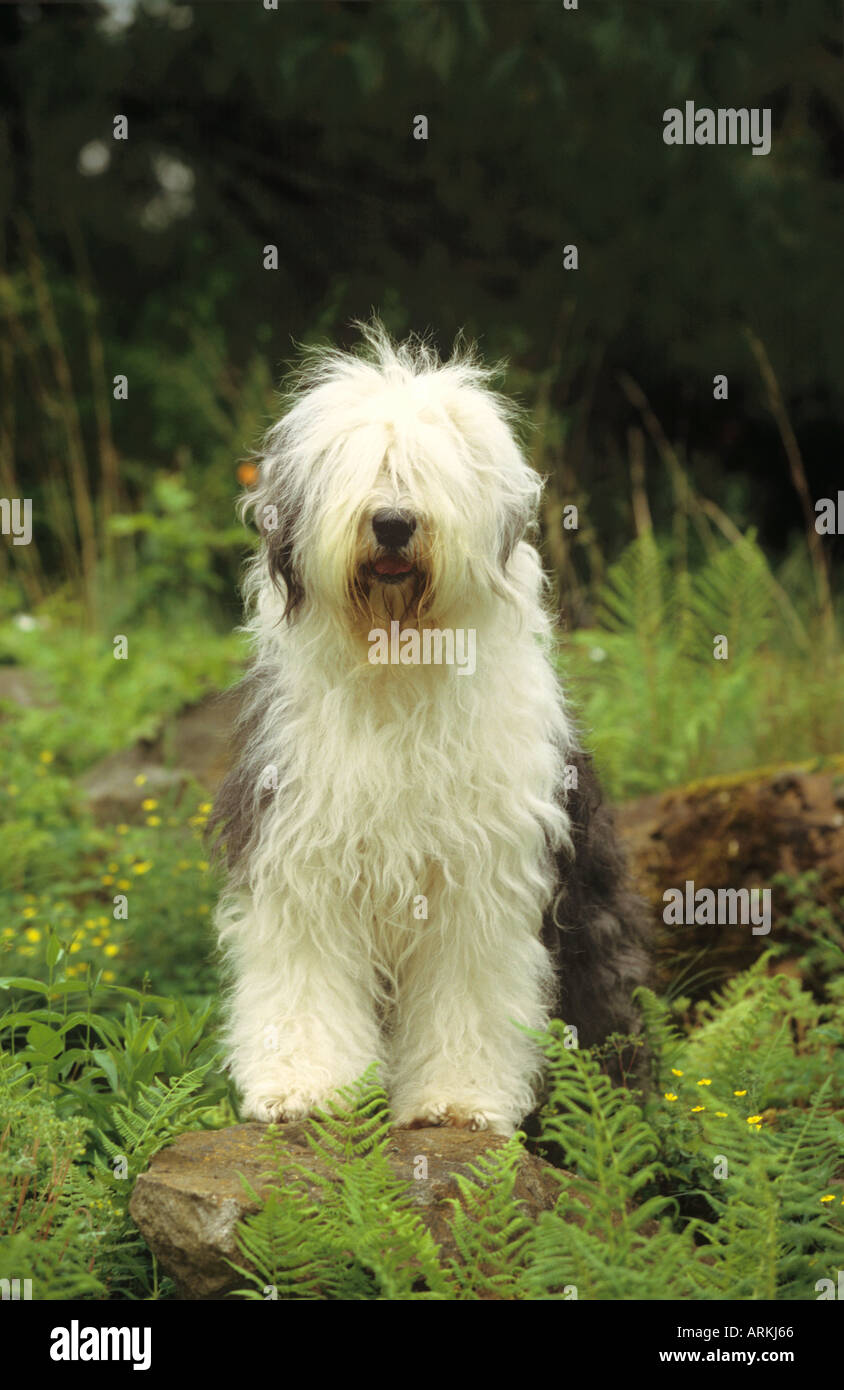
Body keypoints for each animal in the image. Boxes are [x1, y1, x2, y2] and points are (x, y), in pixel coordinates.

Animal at [209, 319, 647, 1134]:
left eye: (428, 472)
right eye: (363, 468)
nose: (391, 522)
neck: (397, 667)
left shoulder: (484, 877)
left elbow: (467, 992)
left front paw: (456, 1101)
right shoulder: (301, 851)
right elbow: (306, 974)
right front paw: (304, 1086)